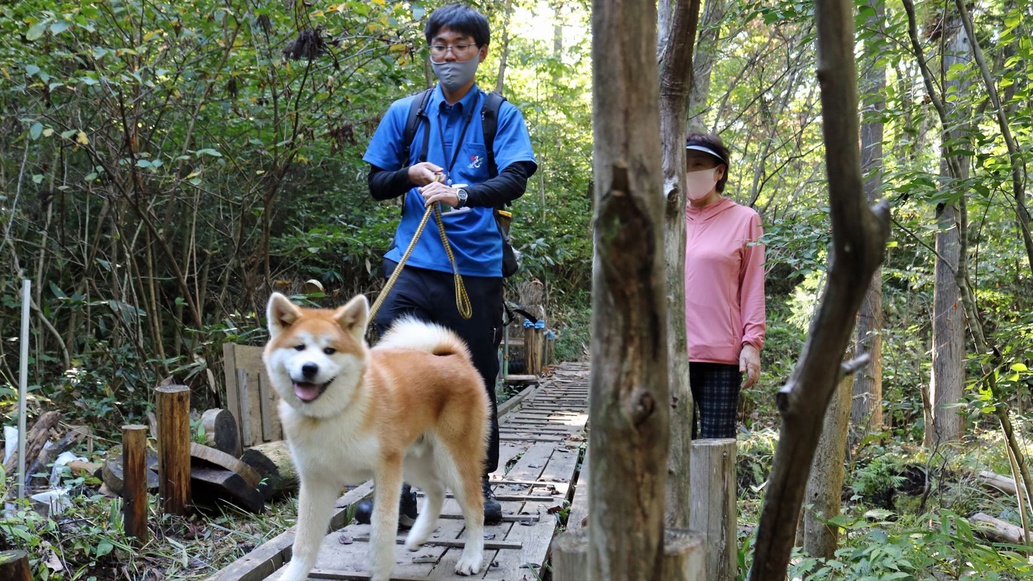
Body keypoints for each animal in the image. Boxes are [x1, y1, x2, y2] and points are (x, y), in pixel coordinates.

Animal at [266, 293, 491, 578]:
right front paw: (293, 575)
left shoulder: (385, 471)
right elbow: (303, 544)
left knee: (475, 508)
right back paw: (418, 536)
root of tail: (453, 356)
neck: (334, 414)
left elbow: (382, 531)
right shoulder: (316, 481)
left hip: (451, 460)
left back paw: (472, 557)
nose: (309, 368)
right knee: (437, 490)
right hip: (410, 462)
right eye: (298, 347)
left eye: (330, 350)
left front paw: (380, 572)